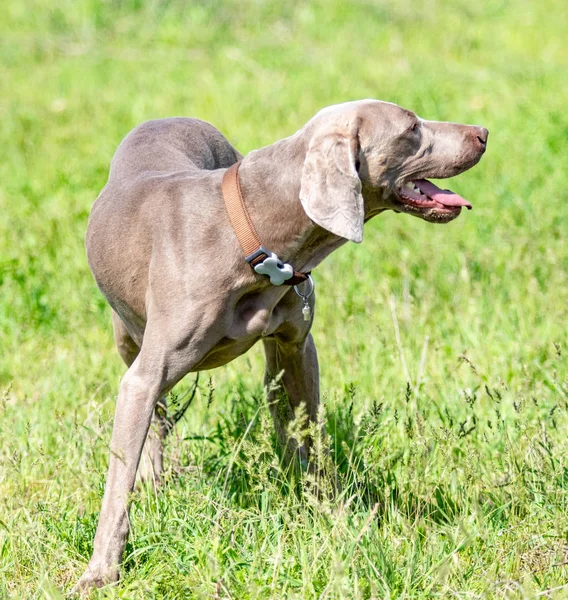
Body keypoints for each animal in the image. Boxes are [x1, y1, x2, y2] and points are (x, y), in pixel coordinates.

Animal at [73, 98, 486, 592]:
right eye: (411, 128)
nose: (483, 133)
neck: (256, 235)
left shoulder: (299, 348)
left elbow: (313, 438)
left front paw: (331, 517)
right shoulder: (144, 377)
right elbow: (119, 480)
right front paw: (101, 572)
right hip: (127, 338)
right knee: (156, 419)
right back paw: (157, 483)